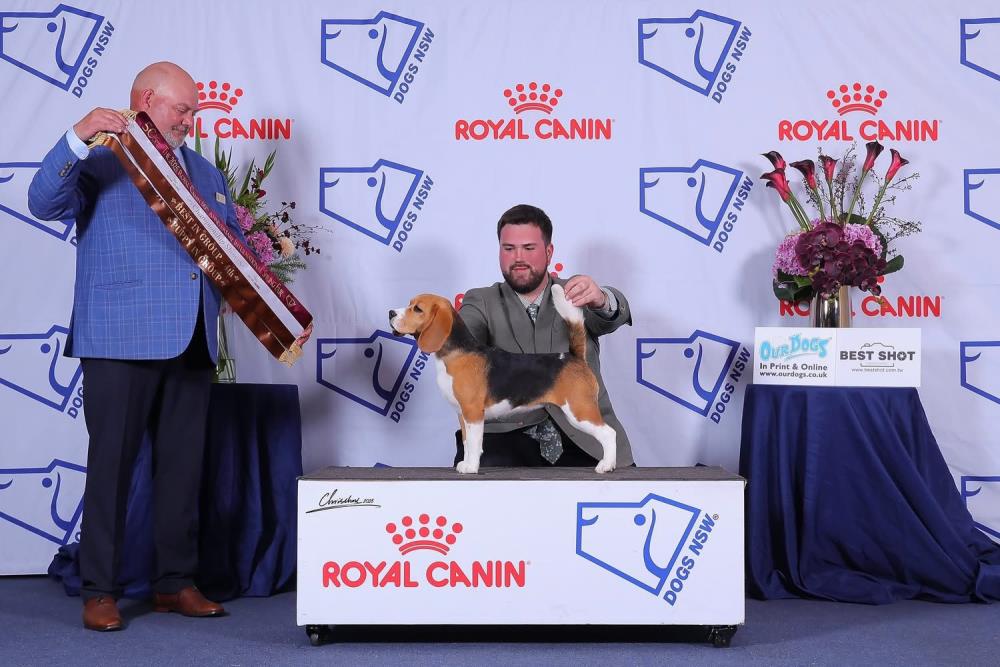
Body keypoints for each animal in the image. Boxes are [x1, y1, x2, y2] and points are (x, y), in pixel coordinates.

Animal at [389, 284, 617, 474]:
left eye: (417, 309)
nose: (391, 312)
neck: (455, 353)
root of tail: (574, 357)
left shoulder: (473, 412)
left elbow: (474, 443)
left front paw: (471, 467)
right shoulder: (463, 414)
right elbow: (466, 442)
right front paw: (466, 463)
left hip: (580, 411)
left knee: (609, 433)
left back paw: (606, 465)